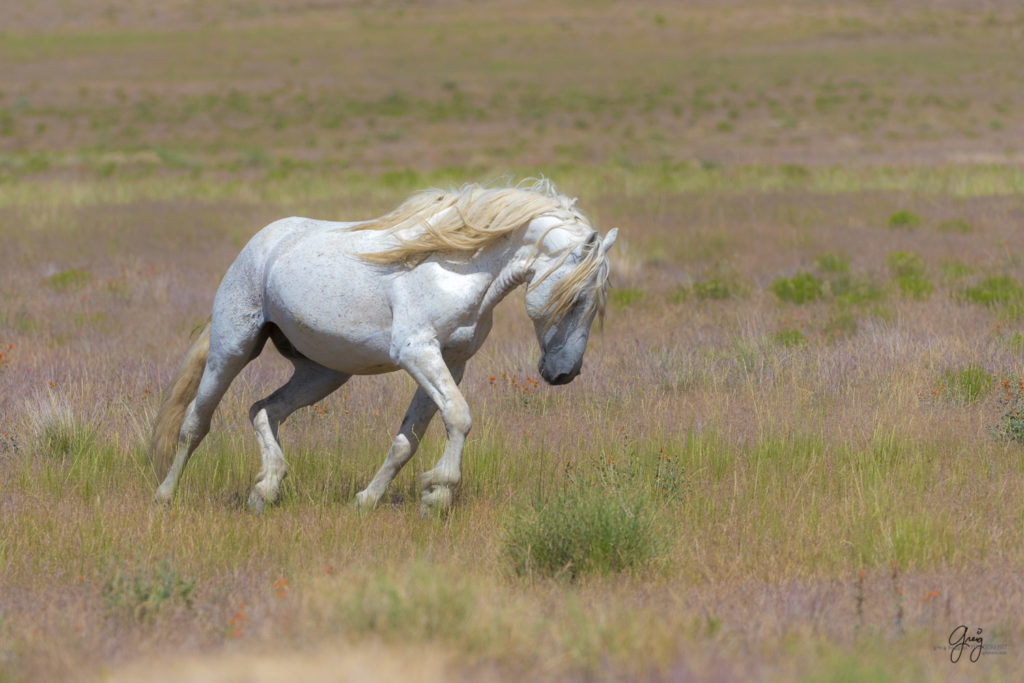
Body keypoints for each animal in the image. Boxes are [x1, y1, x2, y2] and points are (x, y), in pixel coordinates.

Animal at [149, 180, 618, 511]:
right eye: (576, 298)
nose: (564, 374)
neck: (459, 269)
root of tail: (259, 244)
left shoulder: (451, 362)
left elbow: (408, 438)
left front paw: (368, 500)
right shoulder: (417, 353)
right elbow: (459, 416)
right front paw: (439, 492)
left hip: (324, 373)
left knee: (263, 410)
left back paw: (265, 491)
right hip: (232, 349)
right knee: (195, 423)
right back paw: (166, 495)